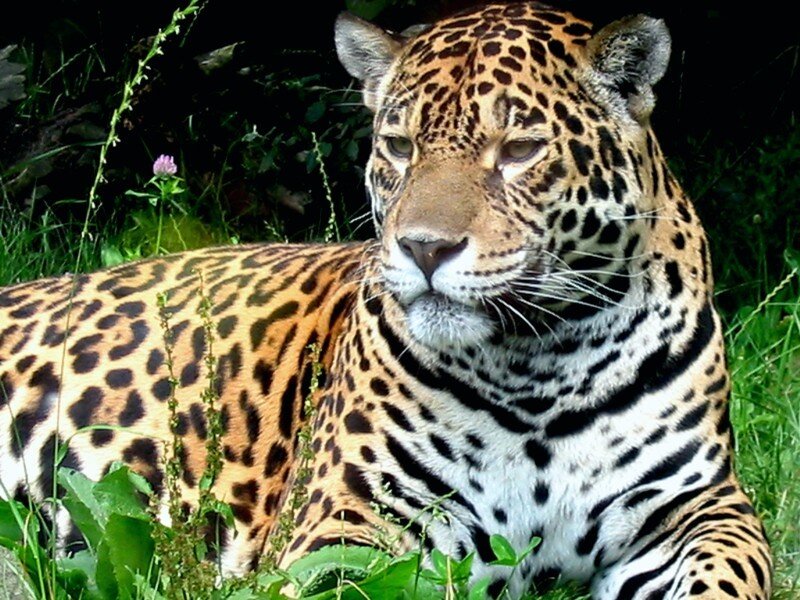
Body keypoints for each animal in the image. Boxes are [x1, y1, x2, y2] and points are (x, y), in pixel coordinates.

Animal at [0, 3, 773, 598]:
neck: (539, 366)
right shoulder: (349, 519)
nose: (425, 249)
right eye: (400, 146)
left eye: (520, 149)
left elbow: (732, 567)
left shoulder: (700, 504)